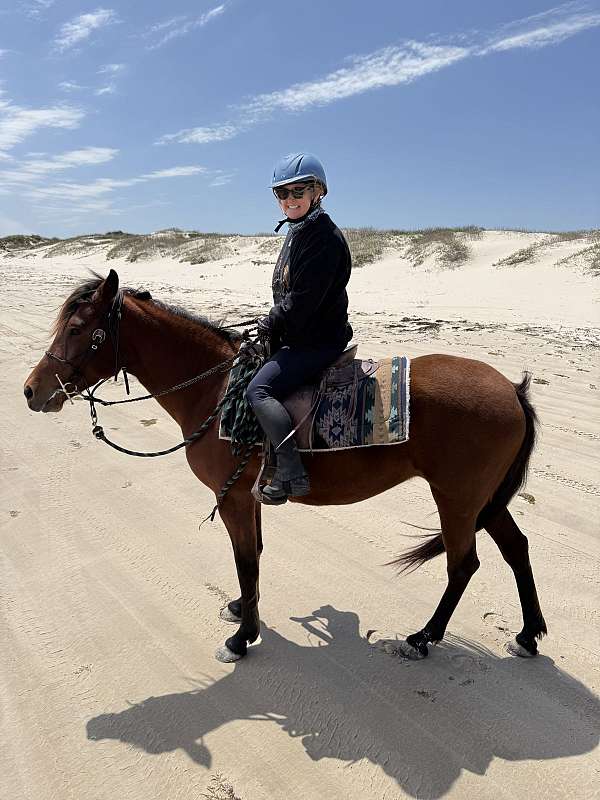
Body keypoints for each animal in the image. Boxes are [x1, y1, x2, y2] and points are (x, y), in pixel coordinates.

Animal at [24, 269, 547, 663]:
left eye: (77, 330)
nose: (31, 390)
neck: (216, 390)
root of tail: (512, 389)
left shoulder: (232, 498)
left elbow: (245, 559)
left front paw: (242, 639)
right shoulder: (247, 494)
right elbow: (252, 555)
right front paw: (242, 608)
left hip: (456, 497)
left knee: (464, 563)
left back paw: (423, 638)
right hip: (482, 499)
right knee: (516, 548)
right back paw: (527, 635)